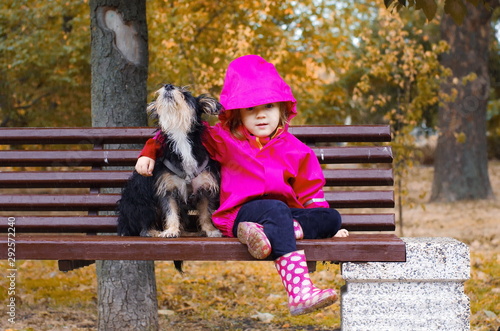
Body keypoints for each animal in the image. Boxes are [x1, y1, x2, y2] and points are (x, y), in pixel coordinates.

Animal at [118, 85, 222, 241]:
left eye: (186, 95)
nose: (168, 86)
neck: (180, 136)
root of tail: (123, 224)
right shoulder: (167, 189)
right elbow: (170, 212)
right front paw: (170, 231)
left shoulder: (204, 188)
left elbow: (205, 213)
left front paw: (210, 230)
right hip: (144, 204)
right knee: (143, 228)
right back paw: (155, 232)